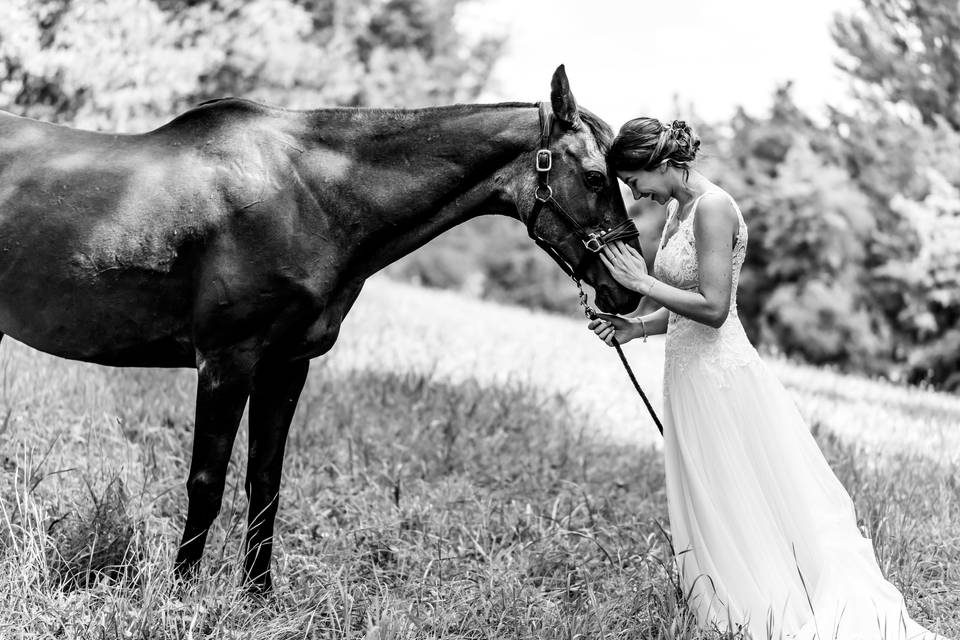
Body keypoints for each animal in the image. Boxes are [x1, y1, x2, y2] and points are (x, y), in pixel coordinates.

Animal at [0, 65, 644, 592]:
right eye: (594, 177)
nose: (629, 289)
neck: (308, 196)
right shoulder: (227, 362)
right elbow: (207, 480)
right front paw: (181, 592)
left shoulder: (287, 365)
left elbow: (266, 481)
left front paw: (257, 595)